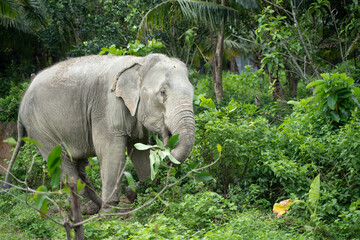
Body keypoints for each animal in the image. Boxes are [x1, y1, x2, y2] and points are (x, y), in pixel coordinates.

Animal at [2, 54, 195, 214]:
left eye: (193, 92)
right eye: (162, 93)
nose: (167, 141)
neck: (139, 63)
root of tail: (21, 104)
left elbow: (139, 149)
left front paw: (145, 190)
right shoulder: (107, 106)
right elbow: (111, 151)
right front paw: (110, 211)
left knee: (77, 162)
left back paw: (93, 205)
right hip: (40, 128)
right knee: (60, 160)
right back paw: (89, 209)